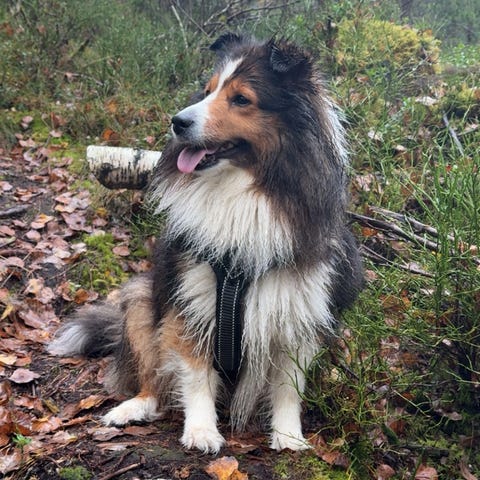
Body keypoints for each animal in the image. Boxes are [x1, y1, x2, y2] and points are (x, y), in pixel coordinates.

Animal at [49, 33, 363, 453]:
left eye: (241, 98)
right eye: (208, 89)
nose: (177, 122)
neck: (241, 190)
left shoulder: (297, 311)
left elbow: (288, 386)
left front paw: (287, 435)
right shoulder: (191, 299)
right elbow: (197, 373)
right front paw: (201, 430)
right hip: (142, 301)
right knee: (153, 381)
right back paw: (132, 407)